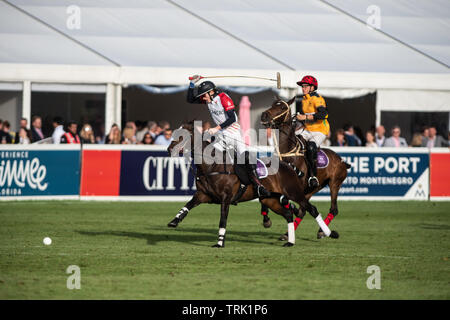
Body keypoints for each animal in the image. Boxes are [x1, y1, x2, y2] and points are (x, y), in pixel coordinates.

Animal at [165, 120, 334, 248]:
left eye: (182, 136)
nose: (169, 149)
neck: (212, 166)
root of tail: (289, 165)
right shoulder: (204, 195)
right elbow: (188, 205)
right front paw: (174, 221)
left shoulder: (226, 198)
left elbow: (223, 219)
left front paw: (220, 242)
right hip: (269, 199)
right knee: (288, 213)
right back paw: (290, 241)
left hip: (294, 192)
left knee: (310, 209)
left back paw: (329, 233)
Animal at [258, 97, 350, 240]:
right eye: (272, 104)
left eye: (282, 107)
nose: (264, 115)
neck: (287, 152)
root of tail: (342, 161)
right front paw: (267, 220)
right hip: (313, 188)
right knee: (303, 210)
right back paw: (287, 234)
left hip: (334, 183)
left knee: (333, 209)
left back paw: (322, 231)